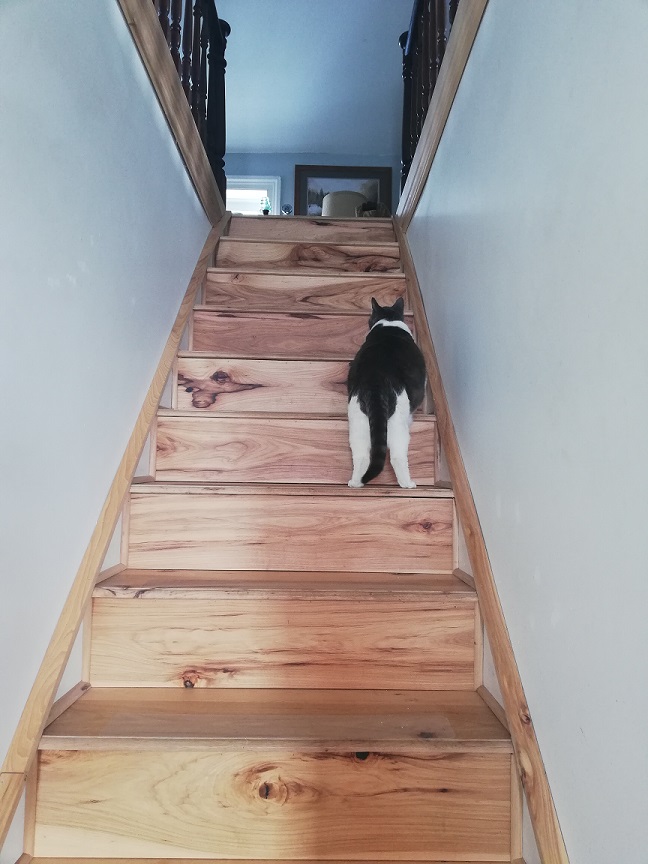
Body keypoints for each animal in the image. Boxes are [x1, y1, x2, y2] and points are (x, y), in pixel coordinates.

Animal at [346, 296, 428, 486]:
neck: (389, 322)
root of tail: (375, 383)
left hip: (357, 424)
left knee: (361, 456)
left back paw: (356, 482)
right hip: (398, 426)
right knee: (397, 456)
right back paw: (408, 484)